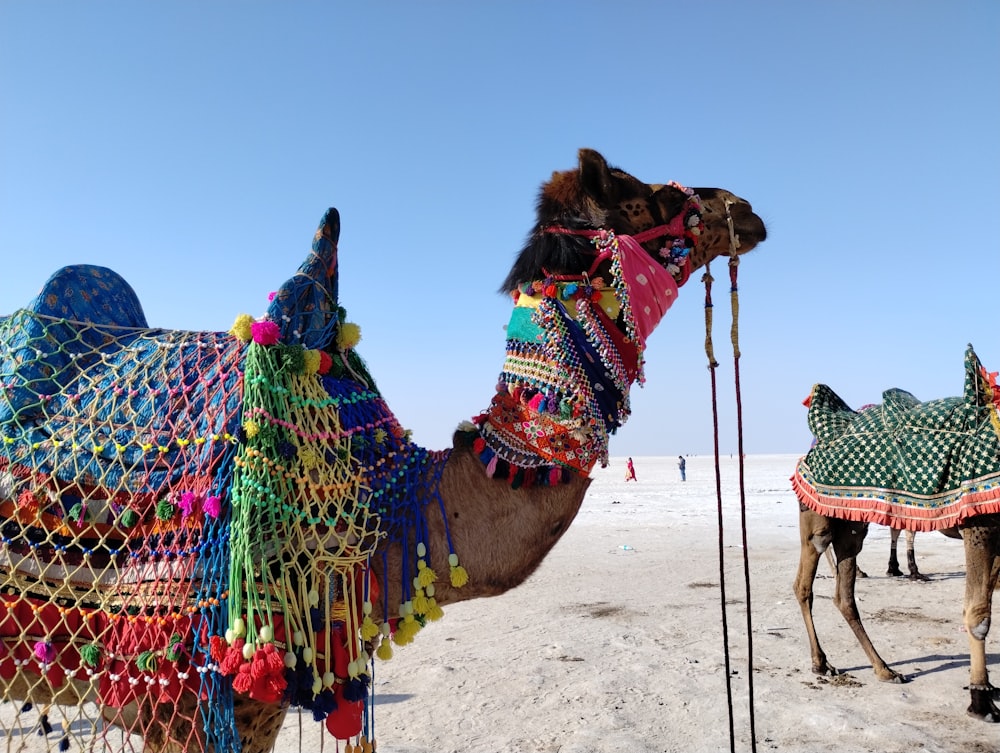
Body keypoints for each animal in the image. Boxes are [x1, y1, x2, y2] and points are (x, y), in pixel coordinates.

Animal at [792, 348, 1000, 724]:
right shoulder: (981, 523)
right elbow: (978, 615)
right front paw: (981, 701)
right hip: (817, 518)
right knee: (804, 583)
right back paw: (824, 663)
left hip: (852, 526)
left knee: (843, 594)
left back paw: (882, 668)